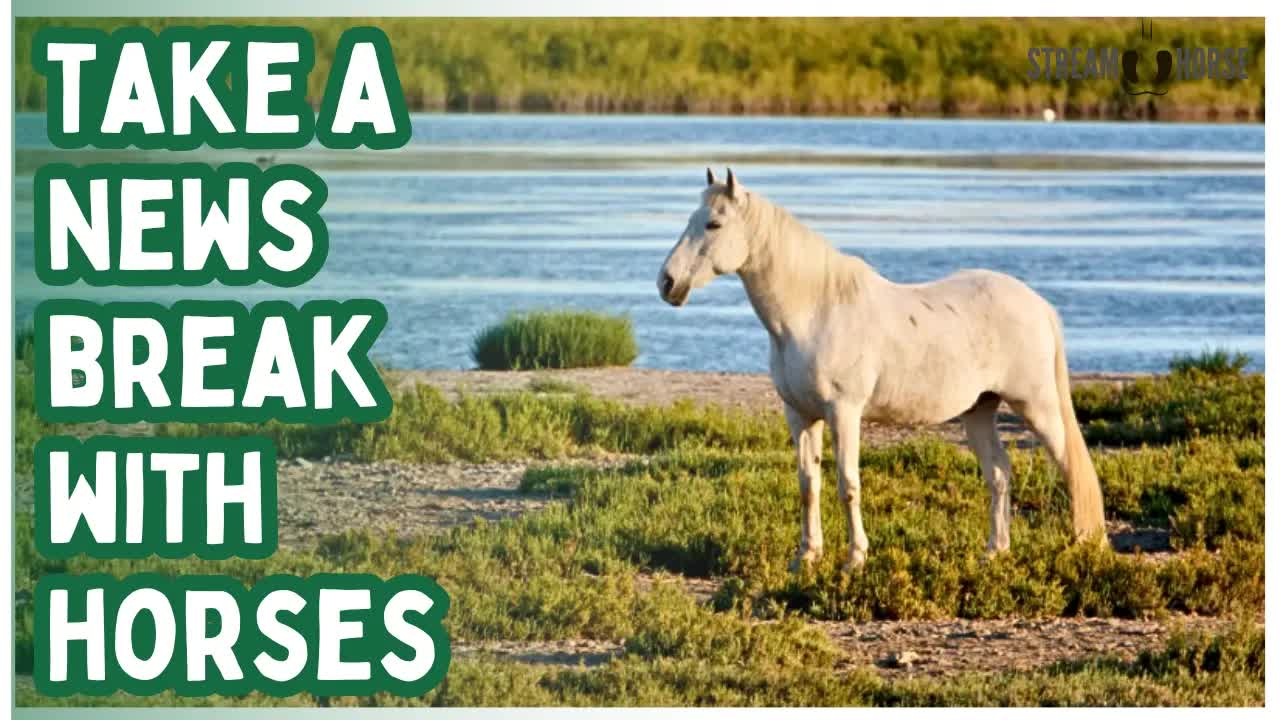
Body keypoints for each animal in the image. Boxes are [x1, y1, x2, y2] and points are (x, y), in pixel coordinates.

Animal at [657, 168, 1106, 573]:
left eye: (714, 223)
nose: (667, 283)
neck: (815, 311)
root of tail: (1038, 304)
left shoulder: (844, 412)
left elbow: (848, 484)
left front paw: (854, 559)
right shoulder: (800, 415)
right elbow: (808, 485)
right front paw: (806, 557)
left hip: (1037, 406)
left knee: (1070, 468)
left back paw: (1084, 547)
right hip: (979, 410)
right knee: (998, 474)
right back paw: (994, 552)